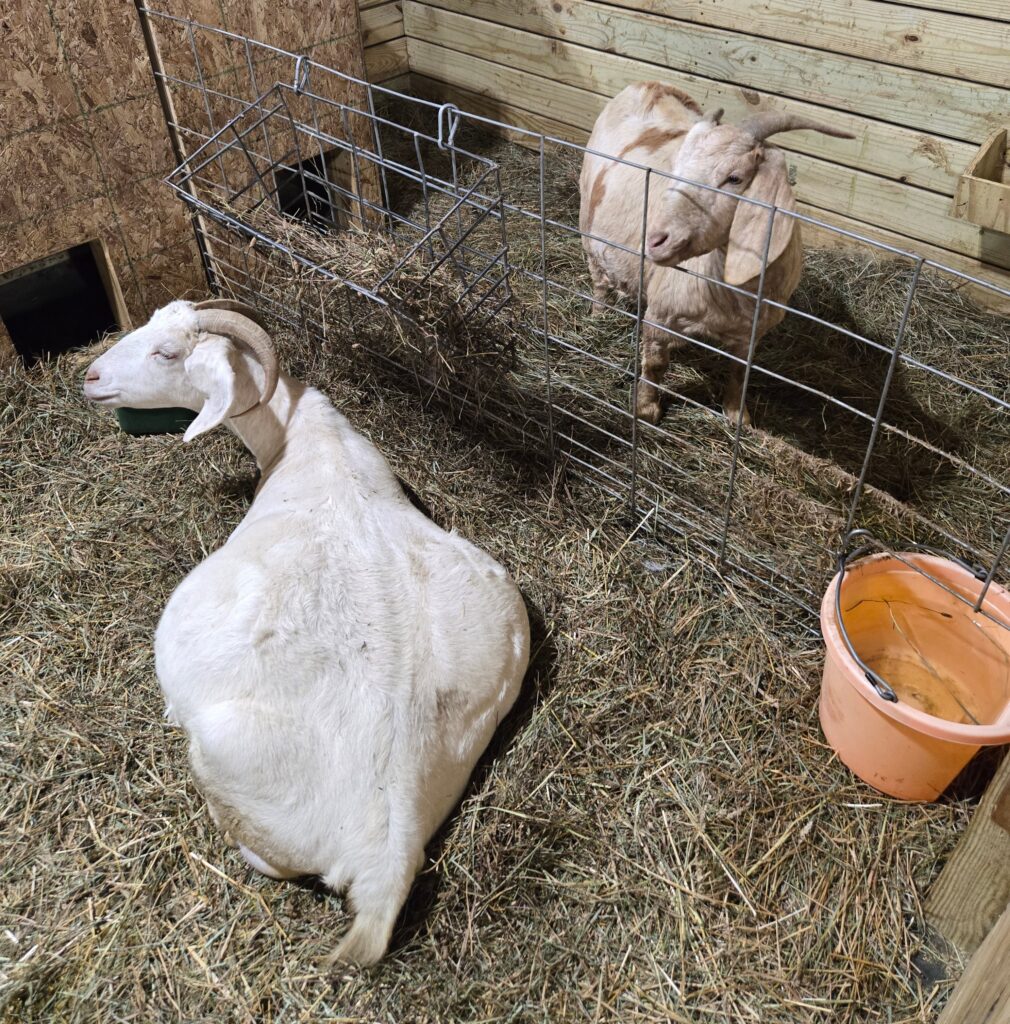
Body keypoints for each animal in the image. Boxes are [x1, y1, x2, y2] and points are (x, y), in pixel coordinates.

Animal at [580, 82, 853, 425]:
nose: (654, 241)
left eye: (734, 178)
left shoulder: (751, 334)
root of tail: (649, 85)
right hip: (589, 230)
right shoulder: (661, 313)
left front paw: (738, 417)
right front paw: (646, 410)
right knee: (599, 280)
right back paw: (598, 317)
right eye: (677, 168)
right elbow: (655, 364)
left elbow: (739, 374)